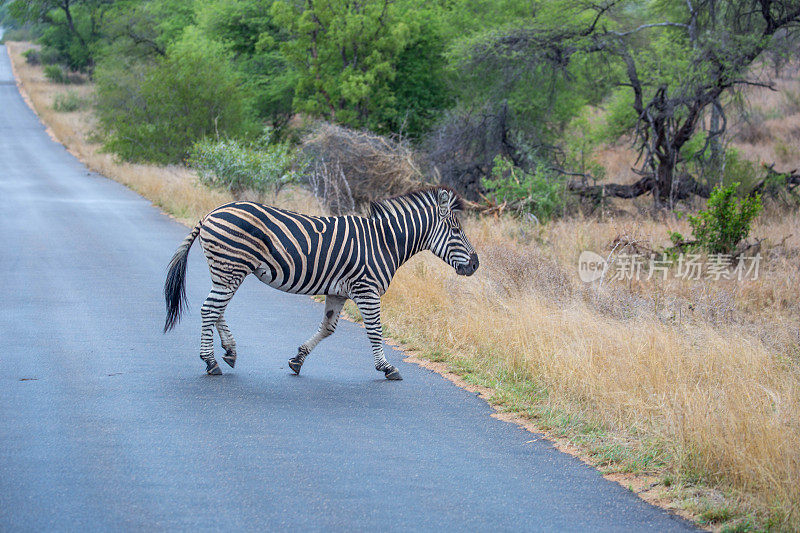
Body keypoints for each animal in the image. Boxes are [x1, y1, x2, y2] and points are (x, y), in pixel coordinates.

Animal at [162, 186, 476, 378]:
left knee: (217, 309)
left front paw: (297, 359)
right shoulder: (367, 289)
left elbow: (328, 328)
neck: (384, 241)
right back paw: (211, 361)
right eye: (456, 230)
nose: (475, 264)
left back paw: (229, 351)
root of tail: (211, 213)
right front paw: (386, 368)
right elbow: (375, 331)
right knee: (209, 309)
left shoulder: (339, 292)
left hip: (227, 271)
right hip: (230, 268)